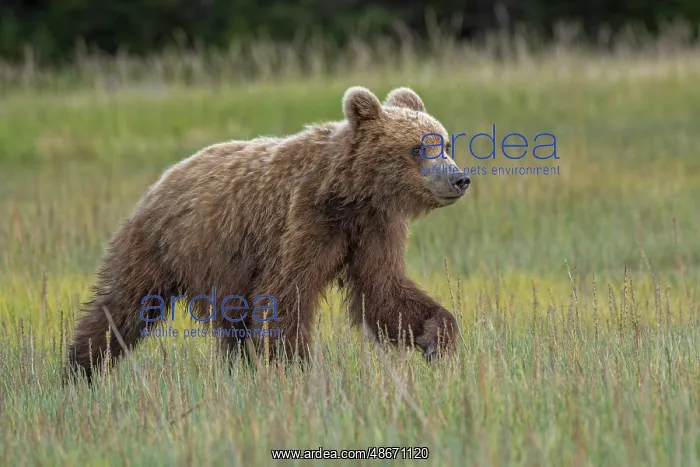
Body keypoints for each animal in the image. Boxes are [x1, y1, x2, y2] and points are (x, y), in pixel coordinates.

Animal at [64, 85, 471, 384]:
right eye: (418, 148)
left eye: (445, 143)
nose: (459, 178)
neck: (351, 195)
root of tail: (163, 179)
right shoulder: (305, 221)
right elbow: (286, 295)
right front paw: (296, 369)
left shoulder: (373, 229)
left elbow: (385, 292)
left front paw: (438, 341)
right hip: (161, 246)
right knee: (124, 305)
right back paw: (79, 368)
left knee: (231, 327)